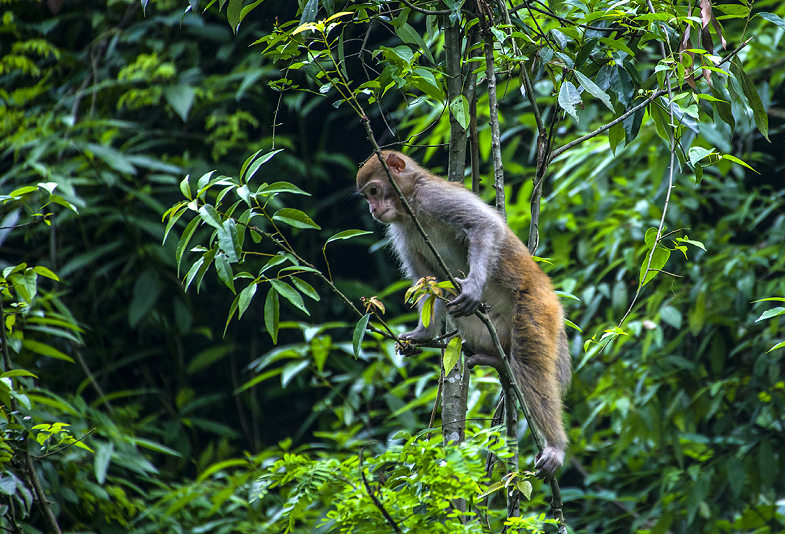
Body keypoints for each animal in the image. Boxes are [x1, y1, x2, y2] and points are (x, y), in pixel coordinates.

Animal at [356, 152, 568, 482]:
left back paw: (554, 444)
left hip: (538, 308)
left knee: (530, 363)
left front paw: (474, 286)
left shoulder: (436, 198)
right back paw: (496, 361)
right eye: (367, 196)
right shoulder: (402, 230)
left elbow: (485, 227)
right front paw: (422, 334)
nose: (373, 209)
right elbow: (428, 282)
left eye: (375, 191)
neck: (411, 205)